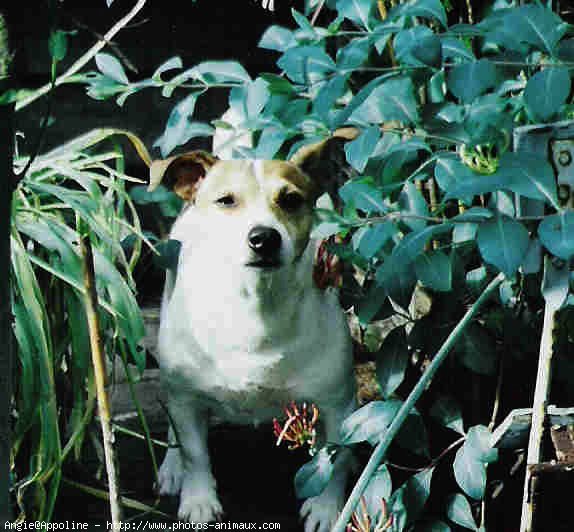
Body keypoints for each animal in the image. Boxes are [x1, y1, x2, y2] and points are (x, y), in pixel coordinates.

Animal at [150, 130, 360, 532]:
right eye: (226, 201)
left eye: (291, 199)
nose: (263, 237)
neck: (255, 309)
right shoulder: (186, 400)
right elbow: (195, 454)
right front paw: (199, 500)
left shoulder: (338, 404)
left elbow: (337, 458)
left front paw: (327, 509)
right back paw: (171, 467)